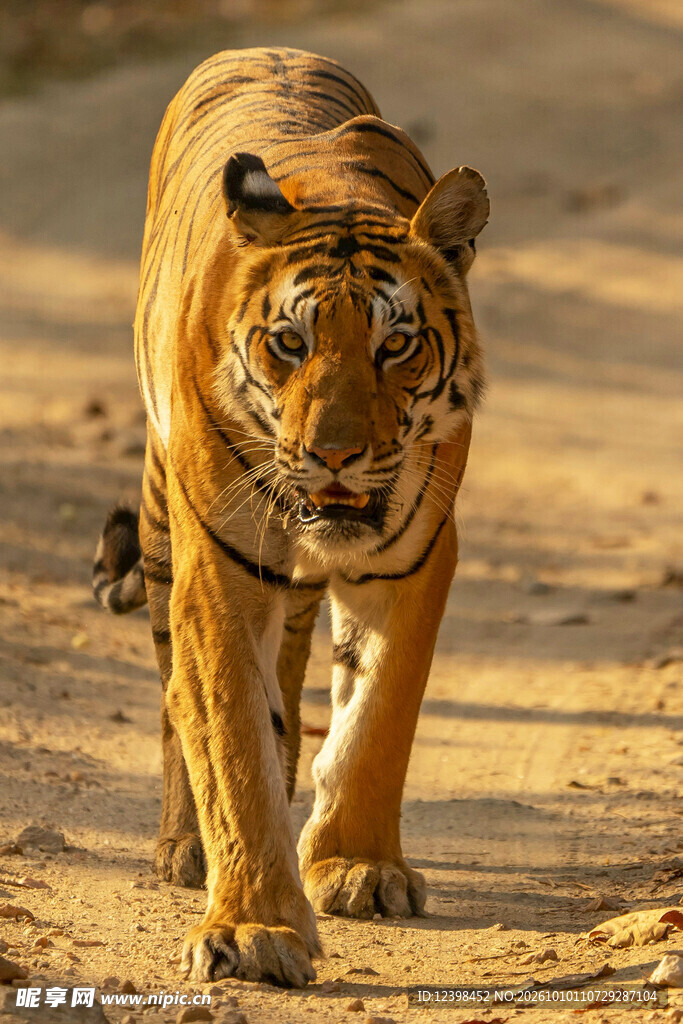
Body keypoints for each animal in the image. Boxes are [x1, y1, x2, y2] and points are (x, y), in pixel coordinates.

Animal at [93, 46, 488, 987]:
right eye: (290, 343)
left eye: (395, 344)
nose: (334, 453)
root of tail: (260, 48)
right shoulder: (216, 572)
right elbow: (228, 732)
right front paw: (251, 926)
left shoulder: (414, 558)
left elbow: (378, 713)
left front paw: (357, 865)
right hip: (161, 526)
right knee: (175, 690)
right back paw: (184, 846)